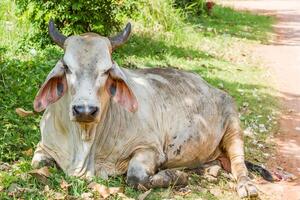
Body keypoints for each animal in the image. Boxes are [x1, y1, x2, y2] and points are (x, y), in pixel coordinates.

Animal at [31, 19, 260, 198]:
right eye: (67, 67)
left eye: (107, 70)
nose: (84, 110)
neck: (85, 142)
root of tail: (212, 87)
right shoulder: (44, 146)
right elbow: (38, 165)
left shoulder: (150, 149)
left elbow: (135, 177)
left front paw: (176, 175)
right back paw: (210, 170)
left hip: (233, 123)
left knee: (238, 162)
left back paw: (246, 186)